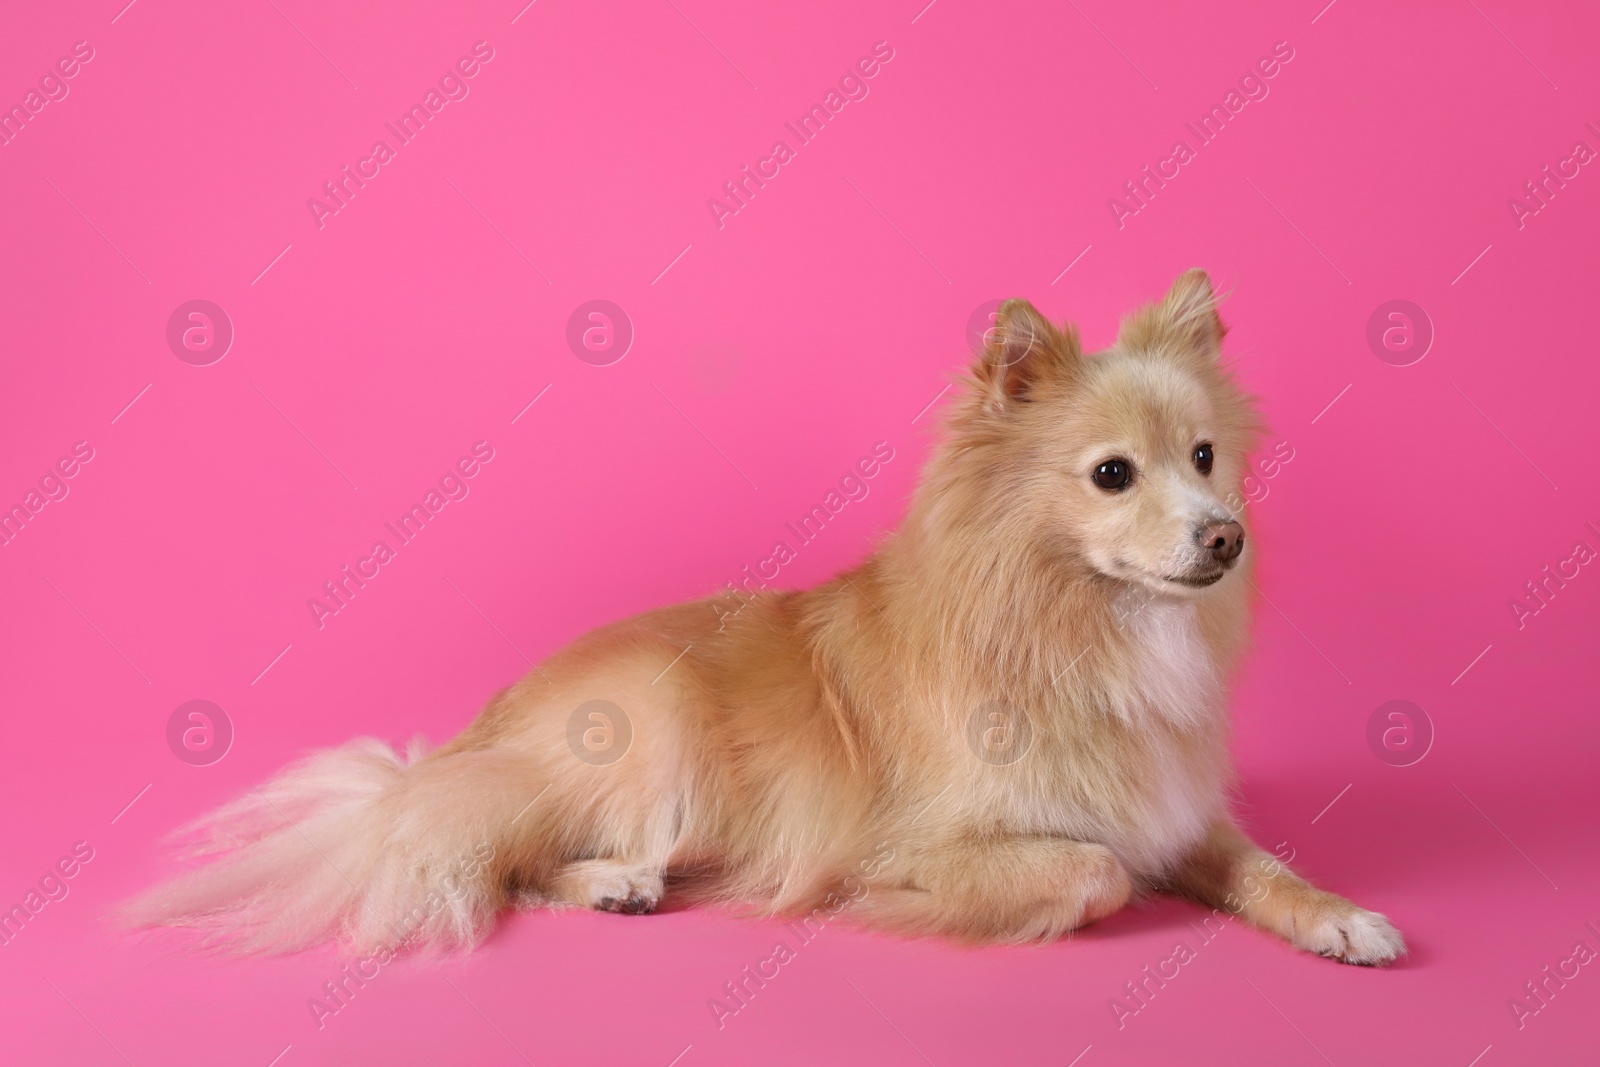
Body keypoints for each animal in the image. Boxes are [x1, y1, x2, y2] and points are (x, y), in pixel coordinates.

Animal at [121, 268, 1401, 966]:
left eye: (1205, 459)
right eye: (1111, 476)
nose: (1224, 535)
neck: (1079, 623)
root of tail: (471, 740)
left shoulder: (1178, 814)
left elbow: (1264, 867)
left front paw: (1341, 917)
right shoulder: (927, 840)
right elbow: (1090, 869)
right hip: (655, 729)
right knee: (506, 856)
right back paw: (612, 882)